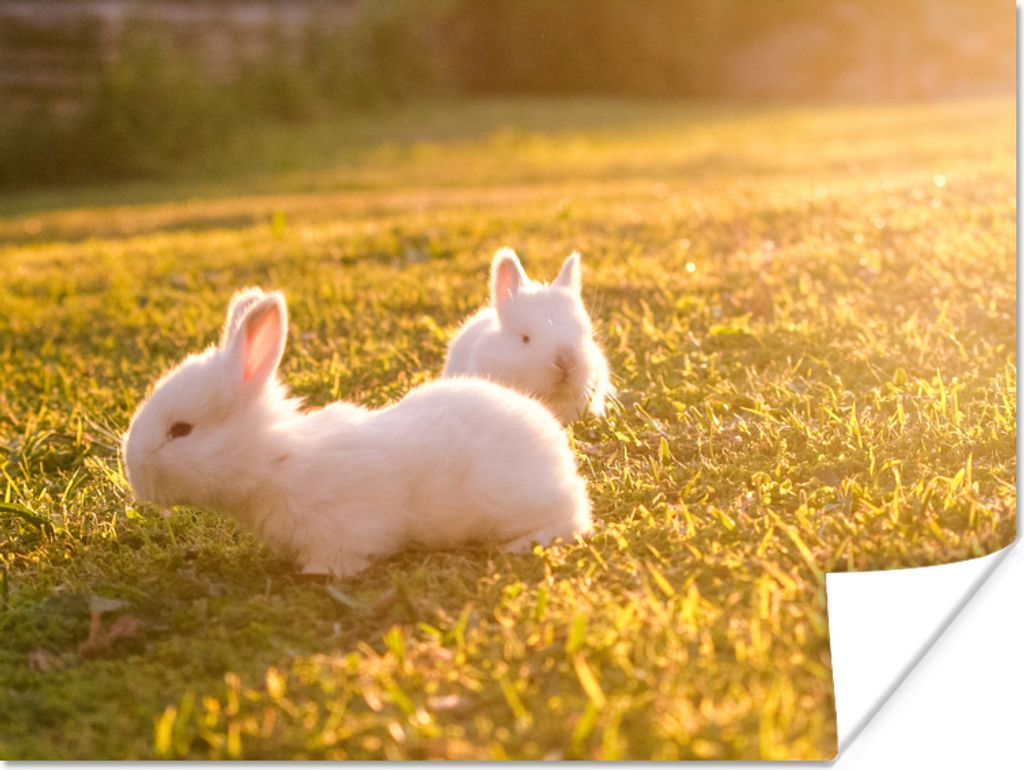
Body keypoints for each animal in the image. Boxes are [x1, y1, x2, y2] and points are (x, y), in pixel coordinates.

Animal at [121, 287, 593, 577]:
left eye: (181, 430)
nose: (133, 470)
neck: (276, 463)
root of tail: (559, 457)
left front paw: (315, 574)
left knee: (571, 520)